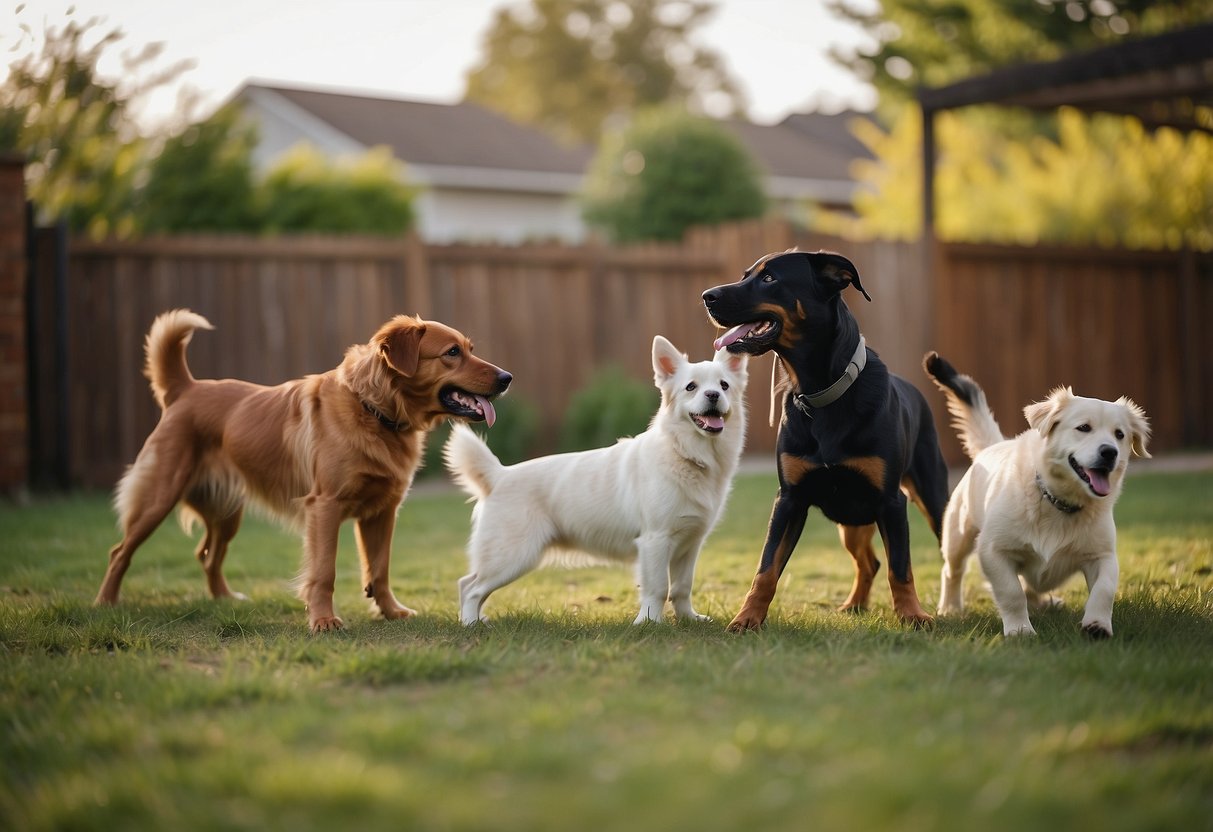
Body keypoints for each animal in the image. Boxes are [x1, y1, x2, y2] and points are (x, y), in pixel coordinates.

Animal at [94, 309, 509, 635]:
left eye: (470, 349)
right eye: (452, 353)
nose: (507, 378)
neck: (373, 409)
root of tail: (187, 389)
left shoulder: (382, 512)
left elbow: (380, 570)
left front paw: (391, 612)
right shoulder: (324, 507)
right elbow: (324, 573)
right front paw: (323, 620)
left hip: (228, 514)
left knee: (208, 556)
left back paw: (225, 600)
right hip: (158, 498)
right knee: (119, 552)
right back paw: (106, 602)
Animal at [446, 337, 747, 625]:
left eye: (723, 385)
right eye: (691, 387)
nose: (713, 395)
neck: (684, 453)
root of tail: (500, 475)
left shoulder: (689, 545)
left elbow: (682, 588)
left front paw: (689, 619)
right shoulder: (655, 541)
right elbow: (658, 588)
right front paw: (650, 623)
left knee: (466, 585)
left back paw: (475, 620)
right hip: (512, 557)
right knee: (471, 588)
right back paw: (471, 624)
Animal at [703, 251, 946, 630]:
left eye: (769, 278)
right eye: (746, 276)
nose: (707, 296)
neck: (822, 392)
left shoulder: (891, 502)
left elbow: (901, 568)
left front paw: (912, 615)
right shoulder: (789, 499)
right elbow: (766, 569)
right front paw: (747, 619)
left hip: (933, 498)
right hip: (852, 523)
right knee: (869, 562)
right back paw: (854, 604)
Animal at [921, 354, 1149, 640]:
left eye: (1119, 434)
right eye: (1084, 428)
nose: (1110, 453)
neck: (1058, 503)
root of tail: (992, 446)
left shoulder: (1102, 555)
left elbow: (1104, 589)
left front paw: (1097, 625)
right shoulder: (994, 551)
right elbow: (1011, 593)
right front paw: (1020, 629)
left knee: (1032, 583)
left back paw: (1045, 603)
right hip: (957, 537)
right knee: (952, 570)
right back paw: (950, 607)